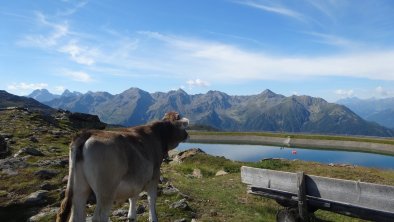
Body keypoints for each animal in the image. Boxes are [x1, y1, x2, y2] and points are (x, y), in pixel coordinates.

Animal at [56, 112, 189, 221]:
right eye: (183, 126)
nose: (187, 135)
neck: (158, 136)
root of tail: (88, 132)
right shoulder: (154, 176)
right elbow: (151, 201)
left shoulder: (136, 180)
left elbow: (133, 199)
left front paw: (131, 217)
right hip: (106, 189)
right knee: (99, 217)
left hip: (80, 187)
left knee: (76, 215)